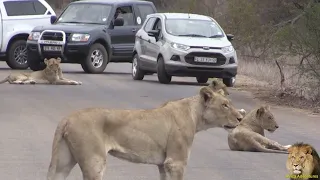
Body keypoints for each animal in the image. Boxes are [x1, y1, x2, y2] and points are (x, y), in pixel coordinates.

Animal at [47, 86, 242, 179]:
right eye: (225, 105)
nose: (241, 118)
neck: (195, 115)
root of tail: (67, 118)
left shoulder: (164, 165)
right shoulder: (175, 162)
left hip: (64, 161)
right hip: (94, 161)